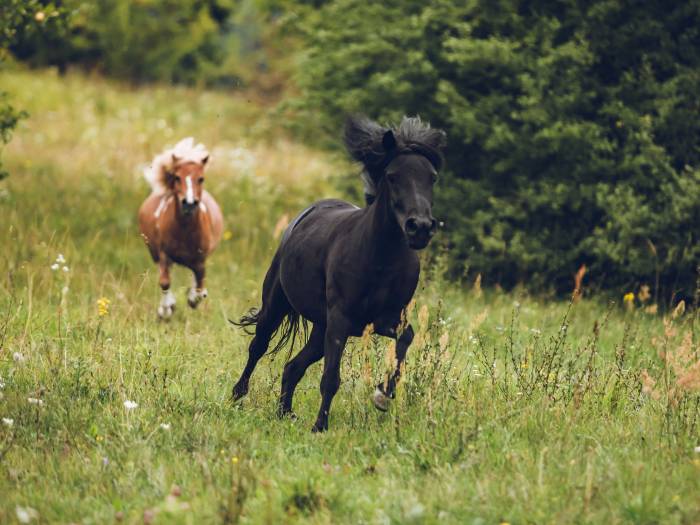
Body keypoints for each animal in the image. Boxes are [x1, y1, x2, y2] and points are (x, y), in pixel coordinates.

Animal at [138, 139, 223, 318]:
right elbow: (164, 282)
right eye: (177, 177)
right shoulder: (164, 254)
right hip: (155, 253)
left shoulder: (200, 260)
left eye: (201, 179)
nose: (189, 203)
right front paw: (166, 309)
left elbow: (200, 285)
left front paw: (193, 298)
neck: (185, 230)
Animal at [232, 114, 446, 430]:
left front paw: (383, 395)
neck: (380, 258)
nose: (419, 227)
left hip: (321, 327)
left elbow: (406, 339)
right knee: (258, 347)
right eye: (393, 176)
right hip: (278, 306)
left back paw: (285, 413)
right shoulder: (341, 319)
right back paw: (237, 396)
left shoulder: (386, 319)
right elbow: (330, 379)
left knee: (292, 366)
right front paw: (320, 427)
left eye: (431, 177)